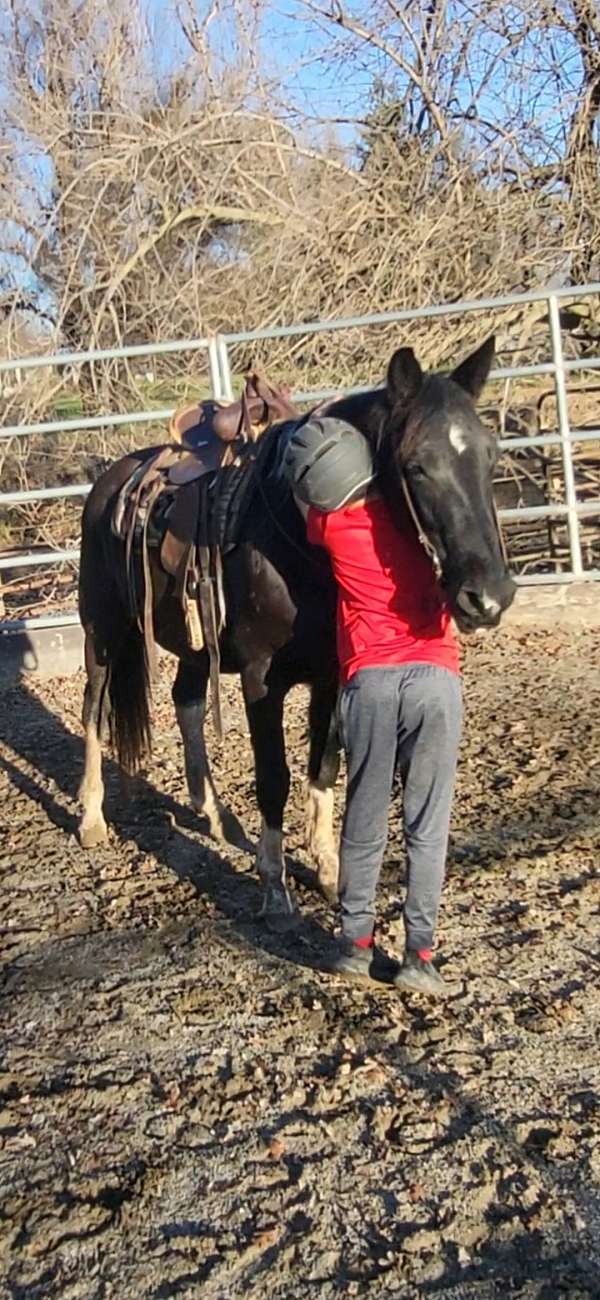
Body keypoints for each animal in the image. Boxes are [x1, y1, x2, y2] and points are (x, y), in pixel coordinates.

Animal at [76, 335, 516, 925]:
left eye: (490, 455)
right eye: (418, 465)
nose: (488, 596)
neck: (300, 540)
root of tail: (109, 483)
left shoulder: (331, 673)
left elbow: (323, 767)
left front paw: (329, 872)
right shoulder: (261, 678)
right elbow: (274, 777)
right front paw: (274, 886)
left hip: (193, 645)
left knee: (186, 702)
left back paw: (215, 815)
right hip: (102, 631)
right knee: (94, 711)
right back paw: (91, 819)